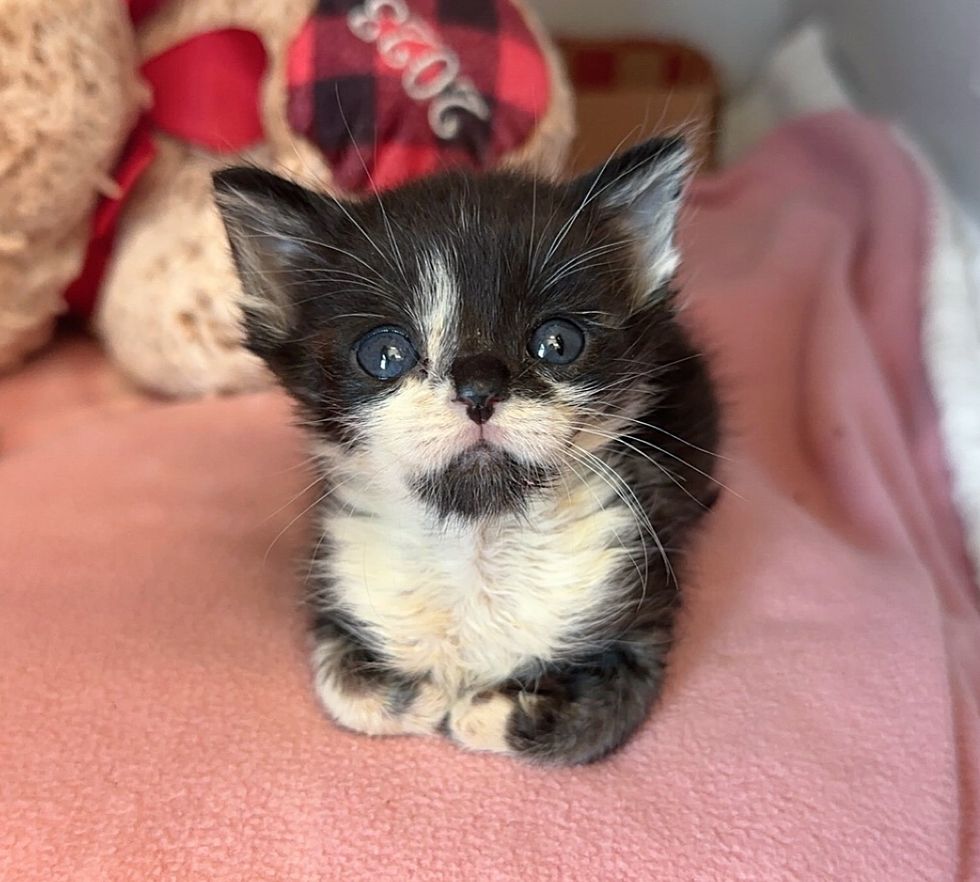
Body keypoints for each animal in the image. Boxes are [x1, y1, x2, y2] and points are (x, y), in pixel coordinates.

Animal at [214, 138, 720, 764]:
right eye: (385, 354)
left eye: (558, 343)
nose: (479, 386)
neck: (476, 542)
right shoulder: (336, 577)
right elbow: (339, 682)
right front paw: (416, 696)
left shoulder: (639, 612)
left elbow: (585, 721)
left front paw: (481, 708)